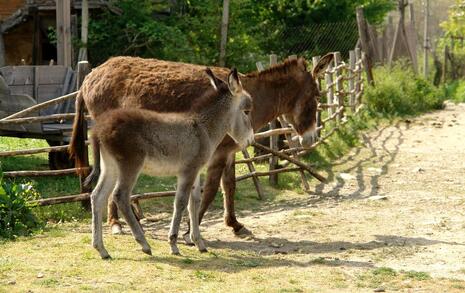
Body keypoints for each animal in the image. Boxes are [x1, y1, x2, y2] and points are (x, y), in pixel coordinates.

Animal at [90, 68, 254, 258]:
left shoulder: (196, 172)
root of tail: (99, 128)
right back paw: (144, 244)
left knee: (97, 196)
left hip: (110, 166)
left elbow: (194, 202)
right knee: (120, 196)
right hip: (130, 165)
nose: (251, 140)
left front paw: (198, 242)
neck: (203, 129)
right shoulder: (187, 172)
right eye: (247, 111)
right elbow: (181, 202)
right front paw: (174, 243)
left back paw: (101, 249)